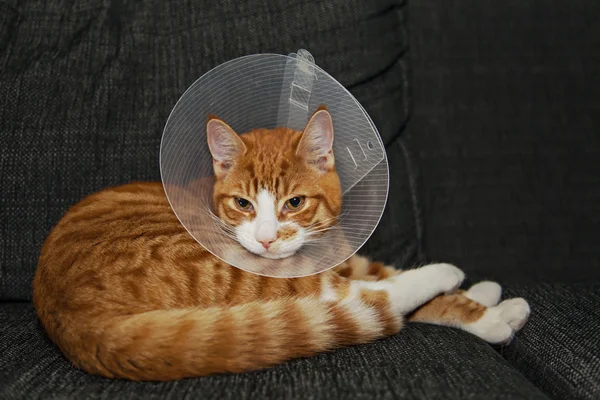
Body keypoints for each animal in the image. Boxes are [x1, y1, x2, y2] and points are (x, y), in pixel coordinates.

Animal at [32, 107, 528, 382]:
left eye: (294, 202)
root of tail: (77, 324)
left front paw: (482, 297)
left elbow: (382, 269)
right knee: (369, 301)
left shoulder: (345, 257)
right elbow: (385, 283)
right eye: (243, 203)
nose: (268, 239)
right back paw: (448, 277)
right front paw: (484, 309)